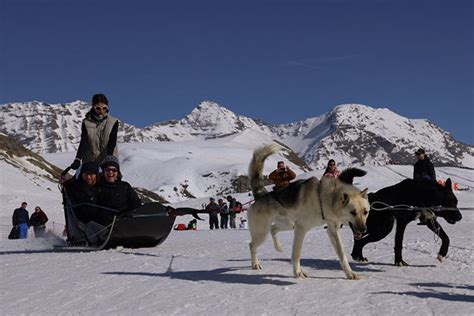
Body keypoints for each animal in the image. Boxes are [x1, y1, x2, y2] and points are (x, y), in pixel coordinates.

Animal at [248, 143, 370, 278]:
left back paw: (278, 247)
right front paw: (298, 272)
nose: (363, 229)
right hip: (262, 233)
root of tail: (260, 195)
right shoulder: (301, 229)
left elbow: (342, 255)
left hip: (288, 224)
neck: (321, 198)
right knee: (252, 245)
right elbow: (296, 254)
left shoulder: (332, 230)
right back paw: (255, 264)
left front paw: (349, 273)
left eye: (365, 212)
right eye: (353, 212)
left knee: (273, 229)